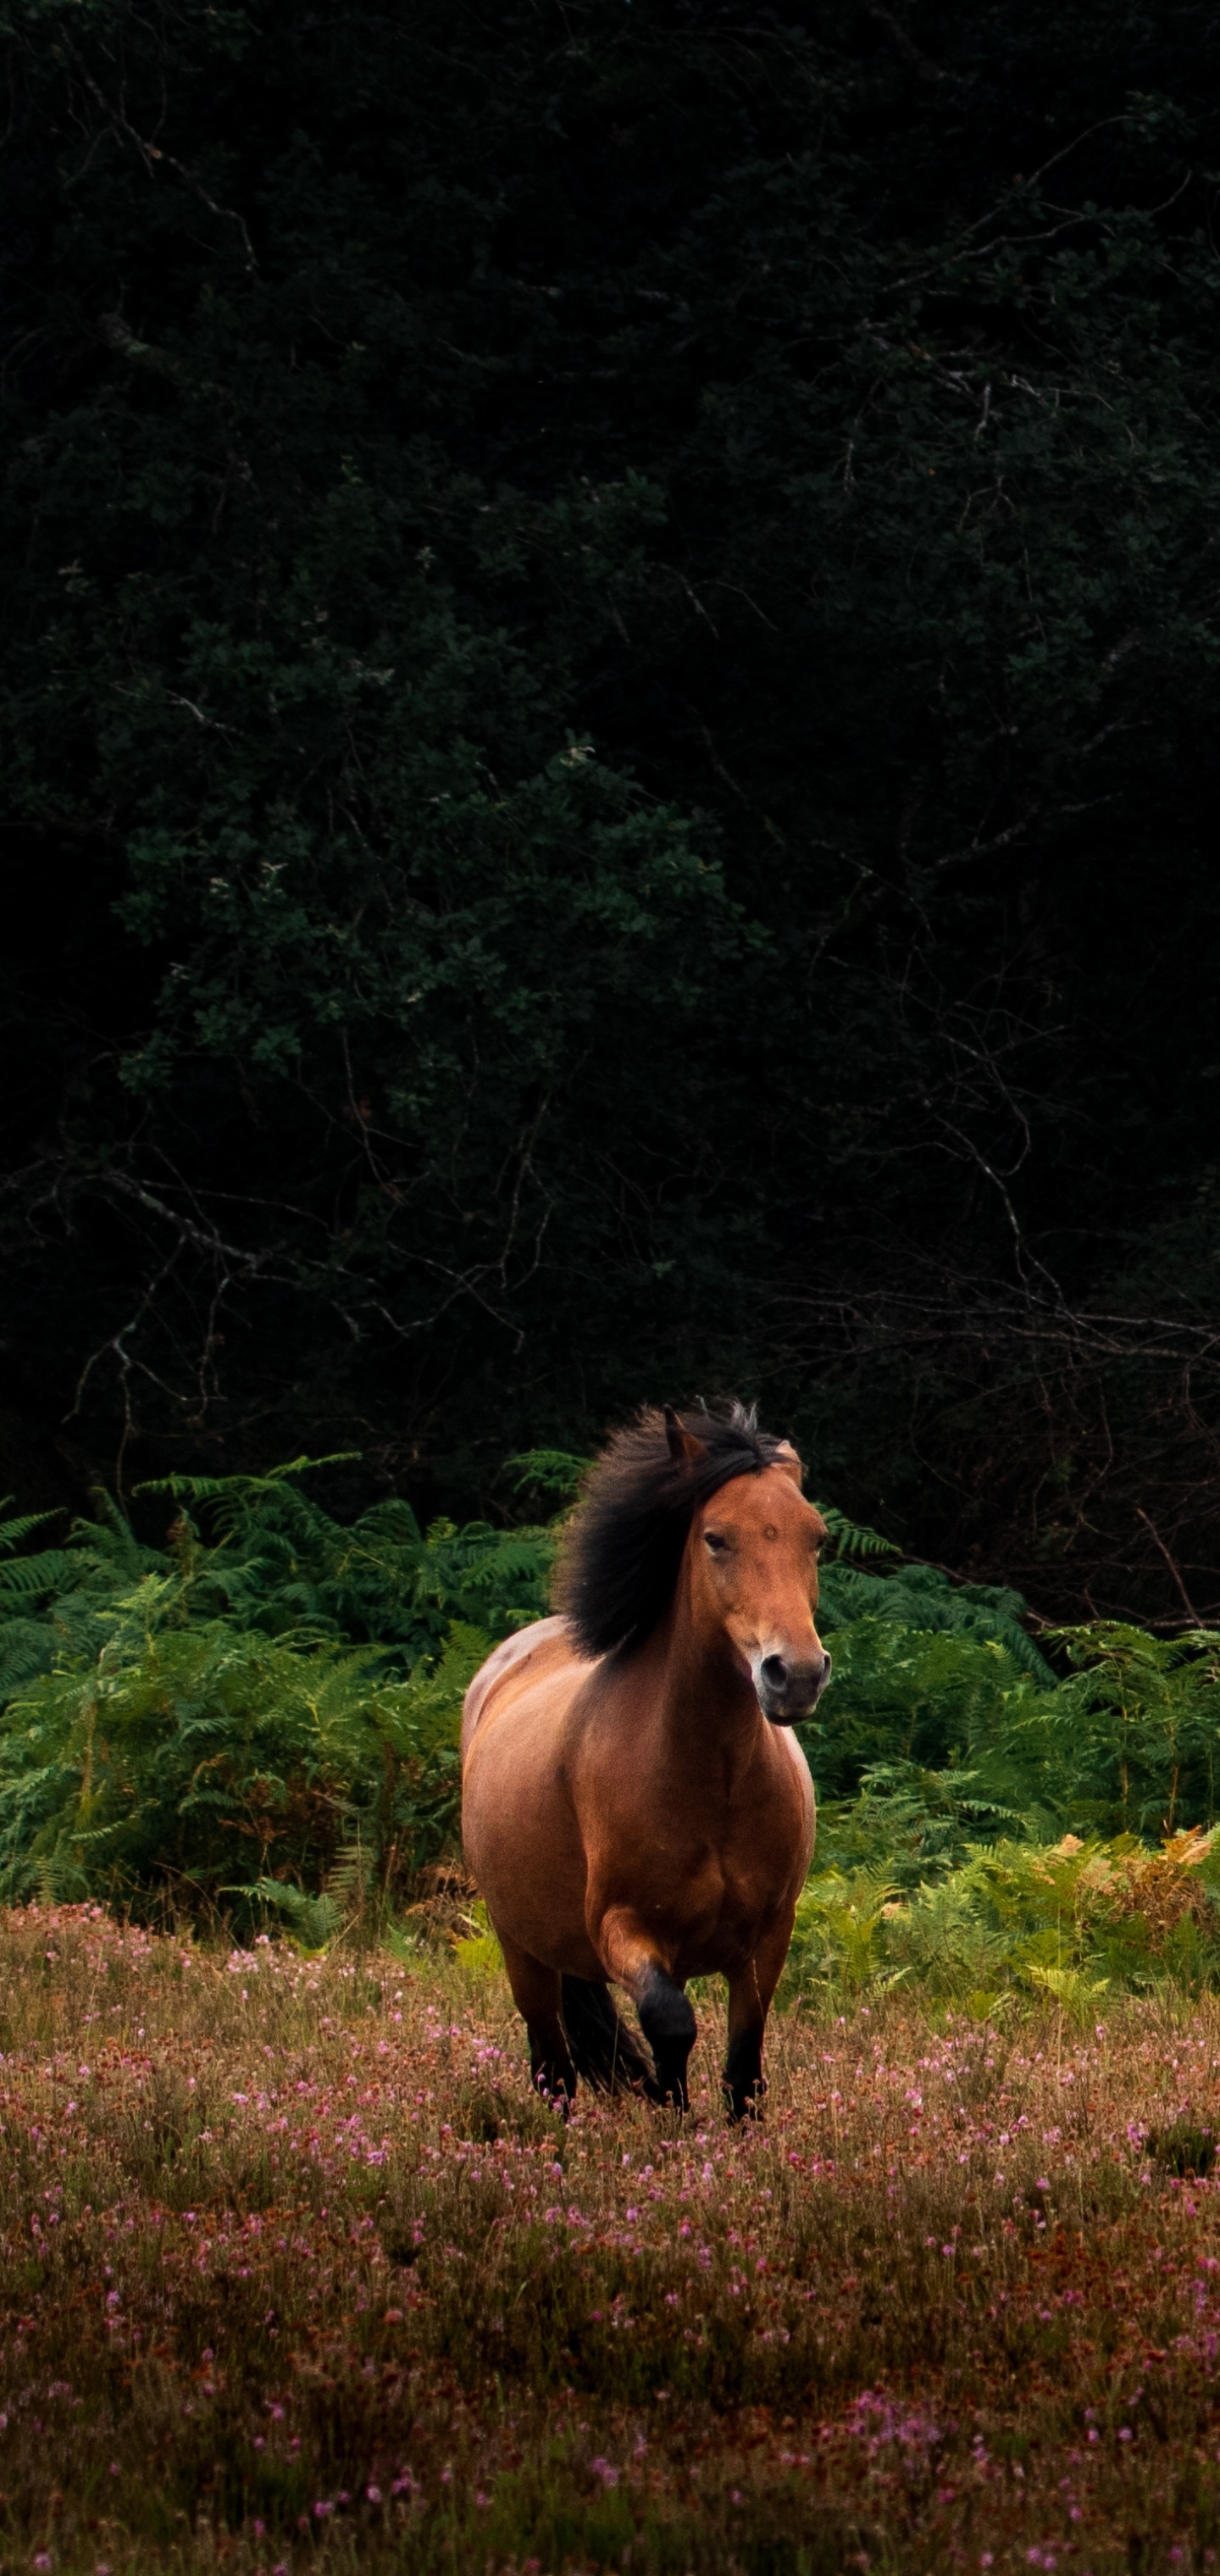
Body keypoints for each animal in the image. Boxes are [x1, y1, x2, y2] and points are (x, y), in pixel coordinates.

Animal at [461, 1403, 831, 2118]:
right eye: (716, 1538)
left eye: (817, 1538)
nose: (795, 1675)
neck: (710, 1780)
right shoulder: (622, 1929)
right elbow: (671, 2023)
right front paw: (670, 2112)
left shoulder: (768, 1938)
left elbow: (744, 2064)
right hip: (523, 1950)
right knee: (553, 2065)